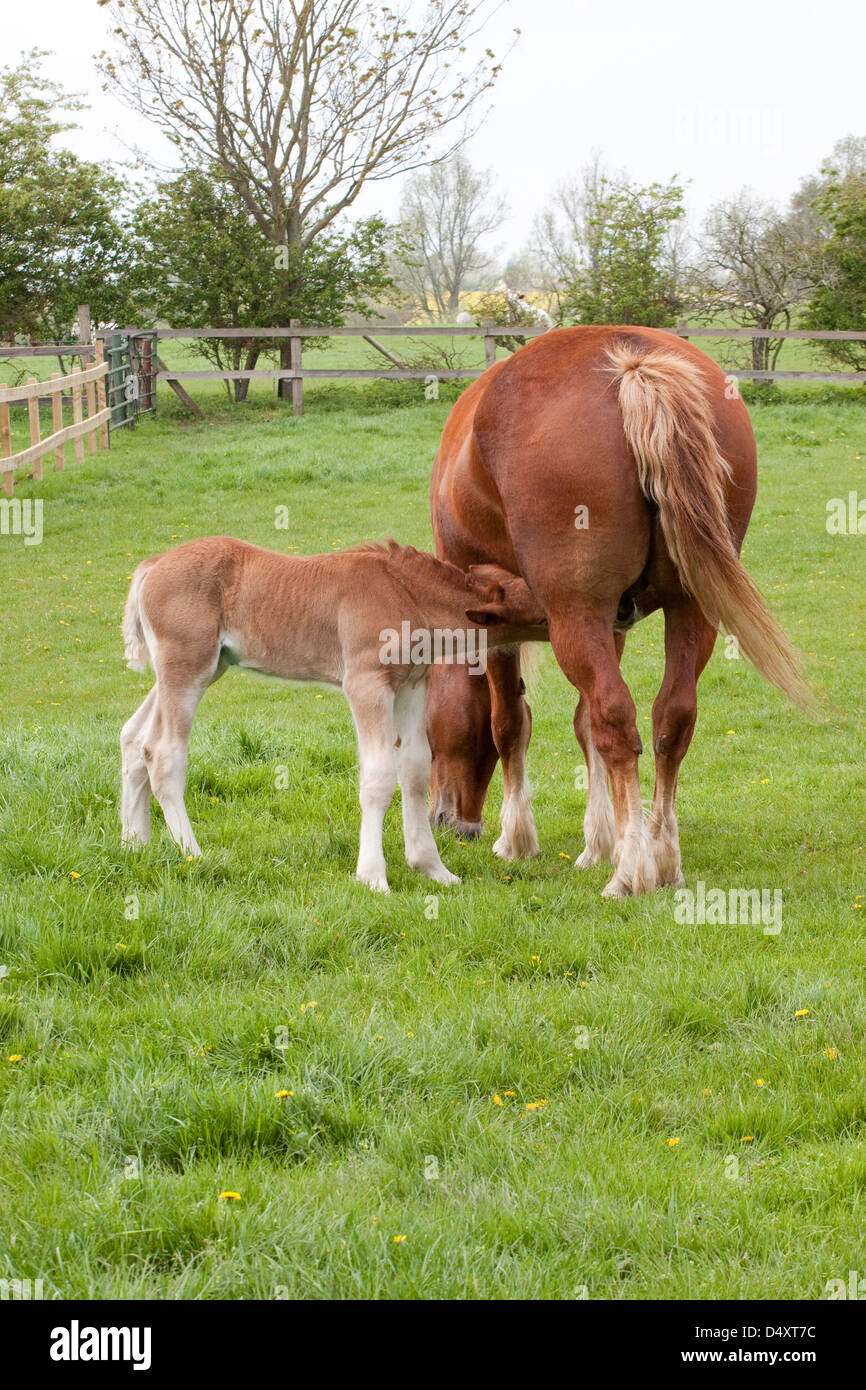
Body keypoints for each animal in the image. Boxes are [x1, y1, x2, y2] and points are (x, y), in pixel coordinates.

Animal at [120, 536, 546, 893]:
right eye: (542, 618)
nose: (561, 621)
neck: (405, 594)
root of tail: (151, 566)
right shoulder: (366, 683)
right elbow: (378, 775)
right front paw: (373, 877)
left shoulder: (412, 685)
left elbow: (415, 769)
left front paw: (433, 868)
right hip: (188, 667)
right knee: (163, 753)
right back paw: (192, 853)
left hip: (203, 668)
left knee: (133, 738)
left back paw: (134, 845)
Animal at [427, 325, 808, 898]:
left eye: (425, 729)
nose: (445, 821)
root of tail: (635, 365)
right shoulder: (614, 624)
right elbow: (584, 726)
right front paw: (597, 844)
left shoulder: (503, 631)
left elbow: (511, 723)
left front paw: (518, 840)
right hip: (691, 608)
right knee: (671, 719)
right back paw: (662, 856)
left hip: (579, 615)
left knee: (616, 720)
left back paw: (631, 871)